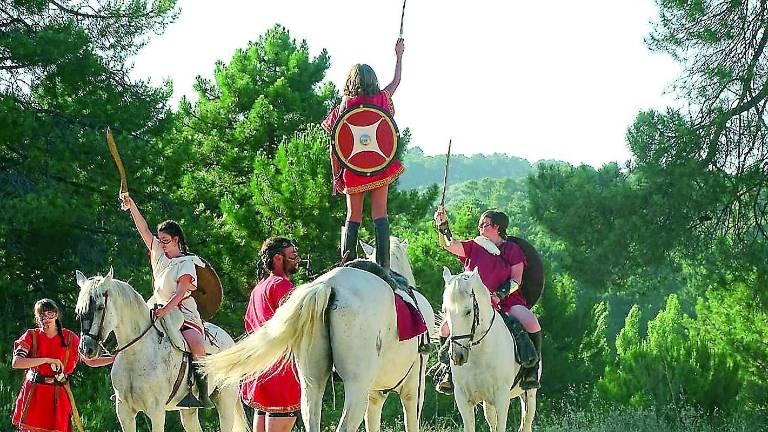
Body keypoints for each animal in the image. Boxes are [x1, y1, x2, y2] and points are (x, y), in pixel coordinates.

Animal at [75, 268, 246, 430]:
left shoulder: (156, 412)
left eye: (100, 307)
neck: (135, 354)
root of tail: (229, 340)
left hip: (225, 401)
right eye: (78, 310)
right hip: (189, 411)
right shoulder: (124, 412)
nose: (86, 349)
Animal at [440, 268, 536, 430]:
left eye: (468, 311)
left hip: (529, 394)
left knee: (526, 423)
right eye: (445, 311)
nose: (457, 356)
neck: (479, 352)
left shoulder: (502, 398)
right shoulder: (463, 398)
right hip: (488, 402)